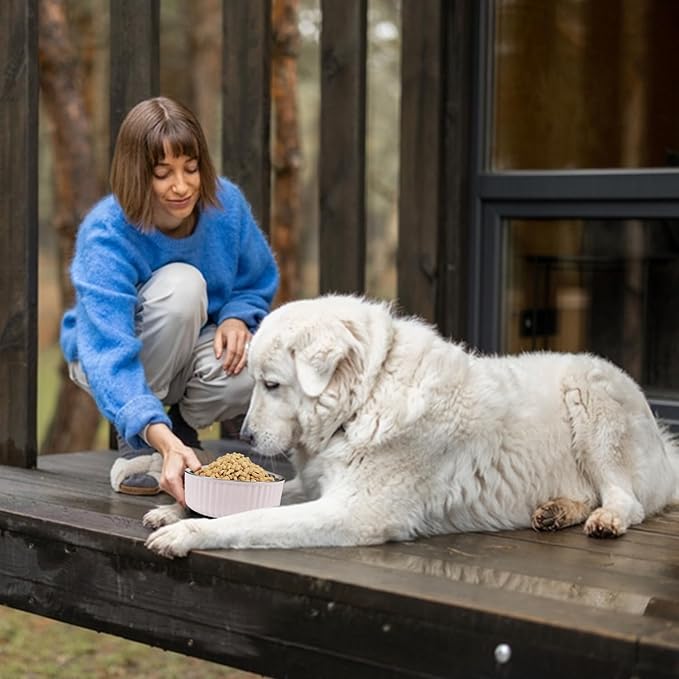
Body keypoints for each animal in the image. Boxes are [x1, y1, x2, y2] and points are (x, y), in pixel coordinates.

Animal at [143, 296, 679, 556]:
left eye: (271, 384)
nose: (250, 437)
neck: (367, 397)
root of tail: (663, 441)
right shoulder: (320, 488)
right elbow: (251, 504)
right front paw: (175, 510)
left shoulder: (353, 511)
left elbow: (249, 520)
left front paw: (186, 534)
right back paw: (556, 511)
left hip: (590, 397)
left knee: (625, 499)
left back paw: (605, 519)